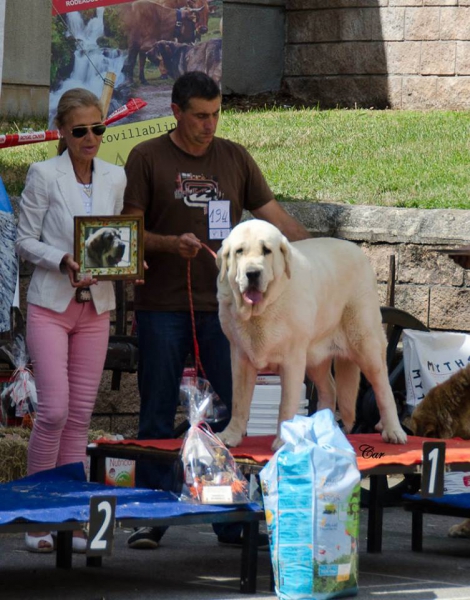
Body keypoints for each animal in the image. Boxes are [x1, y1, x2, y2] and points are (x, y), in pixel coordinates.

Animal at [217, 220, 408, 450]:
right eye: (239, 251)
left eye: (266, 251)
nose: (252, 273)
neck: (261, 312)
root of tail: (357, 250)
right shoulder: (240, 357)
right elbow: (239, 400)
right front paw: (231, 436)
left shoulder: (292, 361)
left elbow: (286, 403)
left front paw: (283, 440)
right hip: (315, 357)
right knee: (330, 390)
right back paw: (323, 429)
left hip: (365, 342)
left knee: (383, 387)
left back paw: (393, 431)